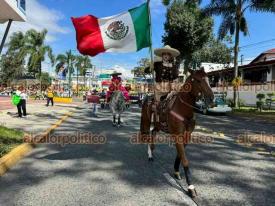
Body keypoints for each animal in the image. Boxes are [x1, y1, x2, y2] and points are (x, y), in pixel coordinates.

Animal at [139, 68, 215, 198]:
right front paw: (191, 187)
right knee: (148, 134)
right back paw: (150, 155)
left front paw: (176, 172)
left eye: (208, 79)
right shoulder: (177, 135)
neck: (183, 110)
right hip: (146, 121)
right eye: (198, 80)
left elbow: (180, 154)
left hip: (158, 126)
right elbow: (184, 158)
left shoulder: (187, 135)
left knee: (153, 133)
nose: (211, 98)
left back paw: (152, 151)